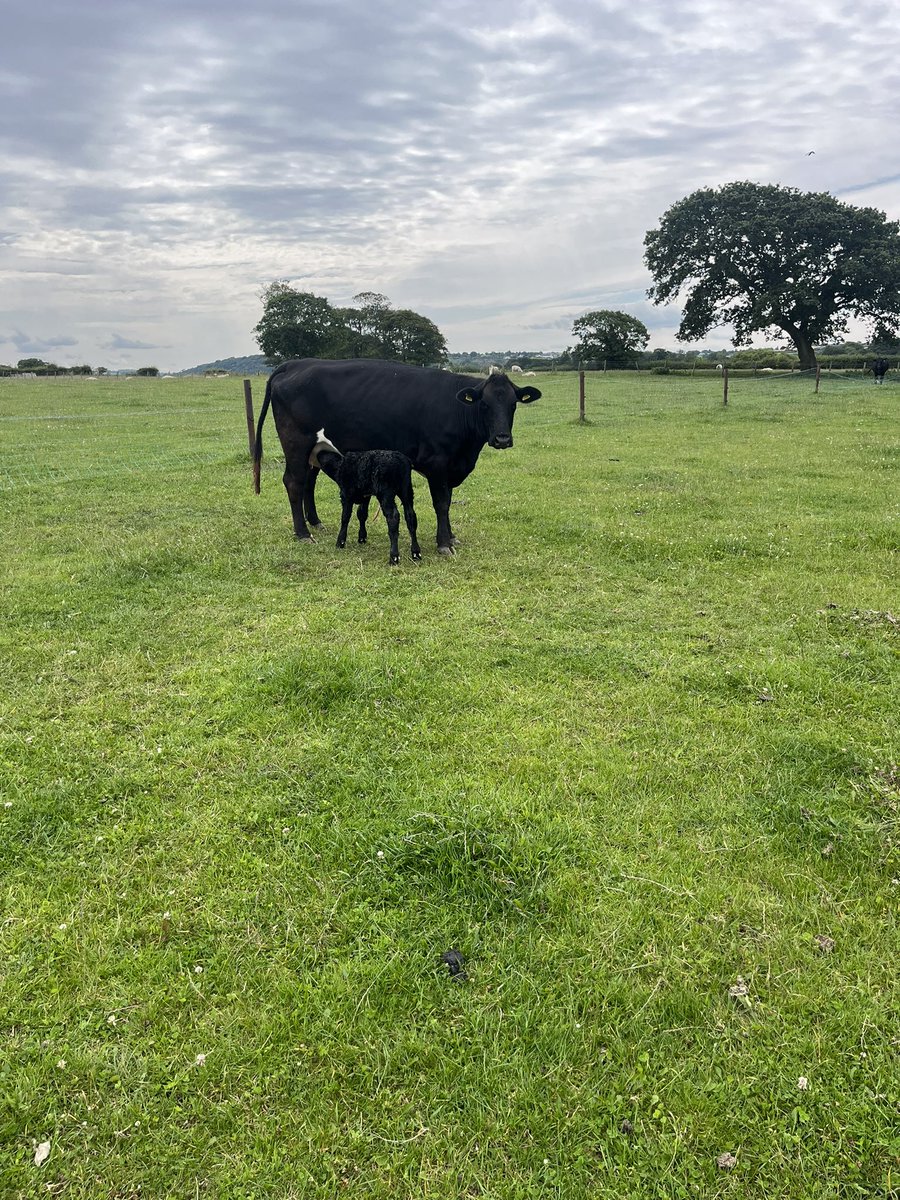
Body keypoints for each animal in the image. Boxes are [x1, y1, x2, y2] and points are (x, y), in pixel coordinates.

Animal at [308, 429, 421, 566]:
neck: (340, 466)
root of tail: (402, 461)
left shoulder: (346, 494)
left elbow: (345, 517)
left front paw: (341, 541)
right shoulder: (365, 495)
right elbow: (362, 514)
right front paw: (362, 537)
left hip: (386, 492)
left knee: (393, 517)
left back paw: (394, 557)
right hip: (406, 490)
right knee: (411, 516)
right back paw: (416, 552)